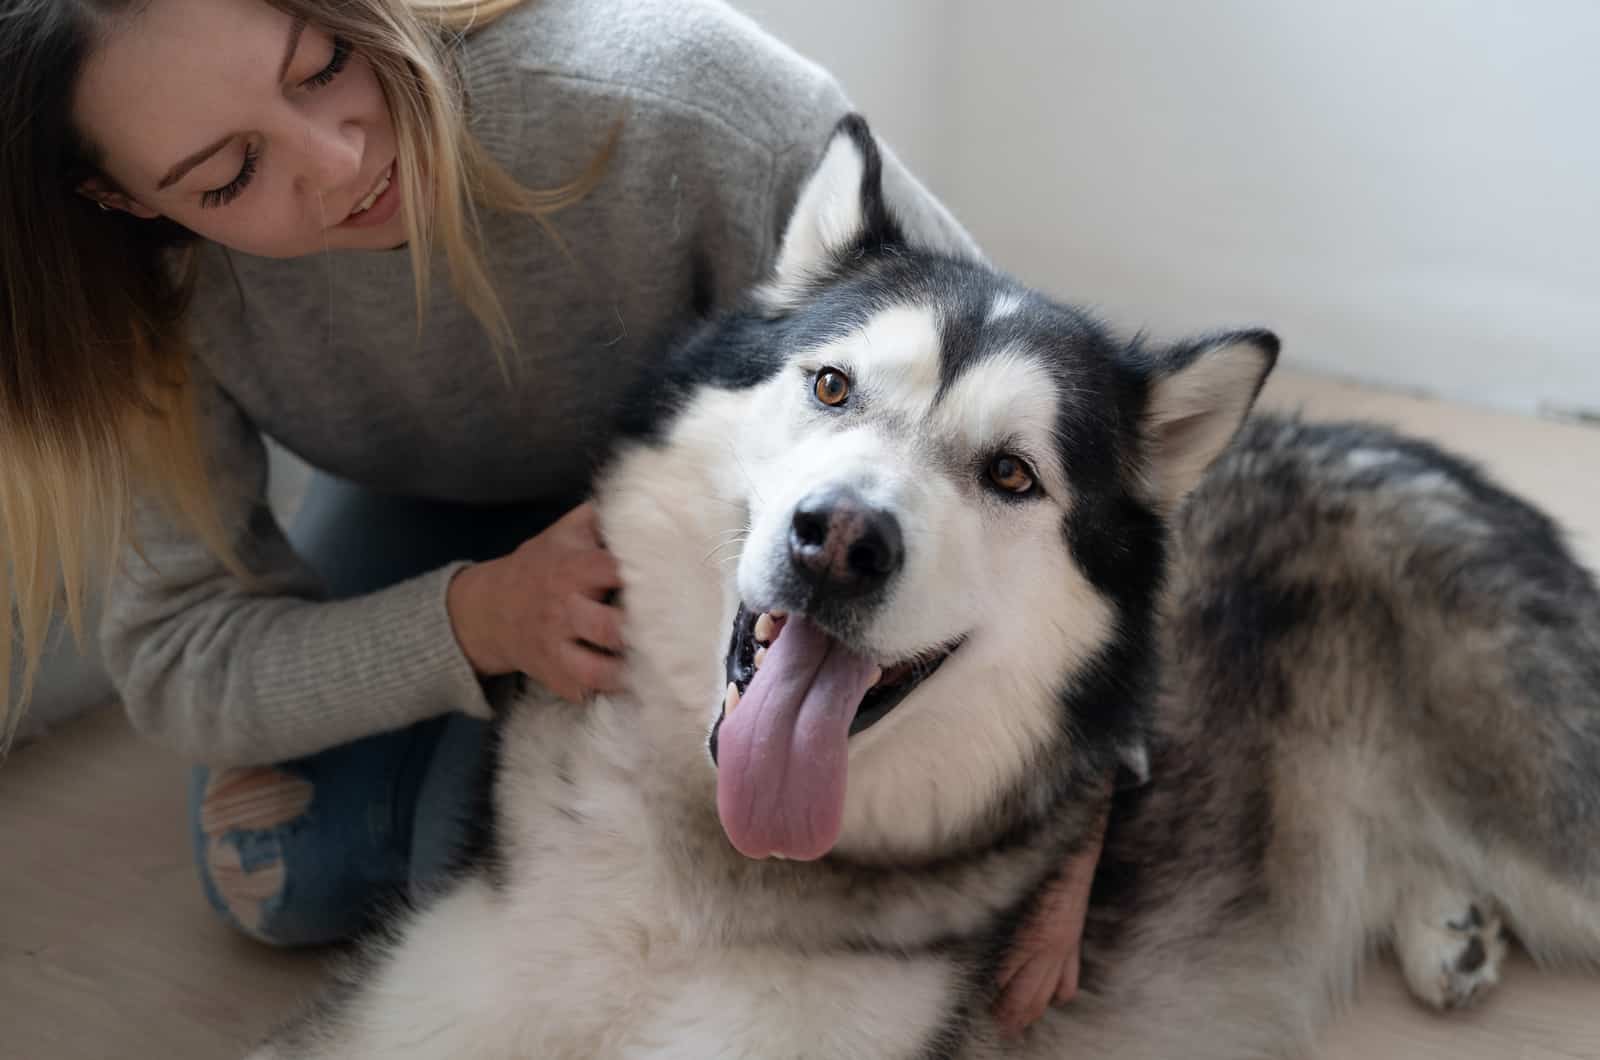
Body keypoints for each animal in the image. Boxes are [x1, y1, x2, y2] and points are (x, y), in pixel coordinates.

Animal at [249, 118, 1600, 1060]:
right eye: (832, 385)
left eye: (1010, 473)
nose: (837, 540)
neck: (701, 876)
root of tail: (1404, 447)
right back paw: (1445, 926)